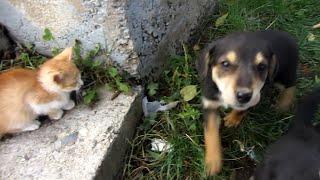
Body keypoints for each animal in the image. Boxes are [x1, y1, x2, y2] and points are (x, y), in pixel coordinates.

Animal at [196, 30, 298, 175]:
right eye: (225, 64)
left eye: (261, 66)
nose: (244, 96)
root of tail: (289, 37)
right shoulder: (210, 104)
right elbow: (210, 132)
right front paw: (212, 162)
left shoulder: (256, 95)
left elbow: (242, 109)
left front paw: (233, 119)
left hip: (282, 76)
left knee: (291, 84)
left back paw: (283, 104)